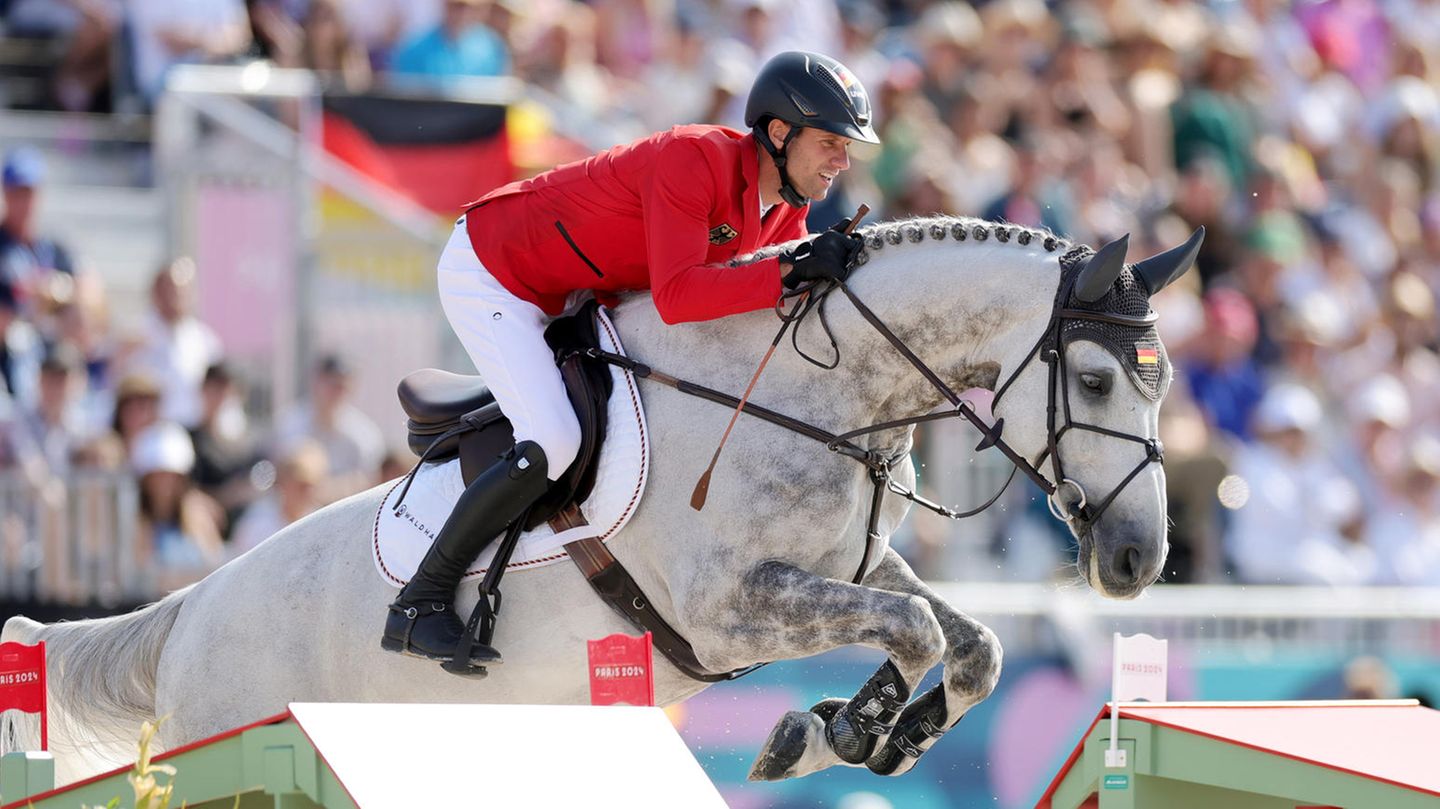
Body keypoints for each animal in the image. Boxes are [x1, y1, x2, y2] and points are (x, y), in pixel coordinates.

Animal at [0, 214, 1198, 783]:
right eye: (1097, 382)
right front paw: (842, 732)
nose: (1138, 561)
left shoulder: (844, 567)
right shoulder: (729, 612)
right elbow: (912, 629)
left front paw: (871, 731)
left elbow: (966, 641)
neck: (818, 386)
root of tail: (189, 612)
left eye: (1164, 382)